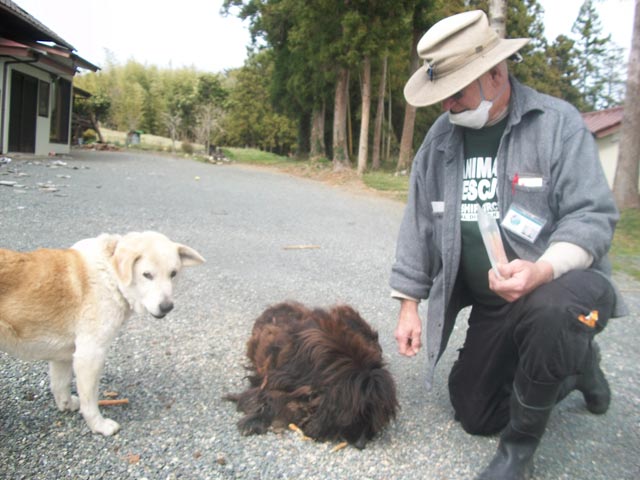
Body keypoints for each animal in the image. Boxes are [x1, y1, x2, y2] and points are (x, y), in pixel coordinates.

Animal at [0, 231, 205, 436]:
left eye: (173, 274)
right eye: (147, 275)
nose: (167, 307)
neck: (110, 274)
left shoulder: (63, 354)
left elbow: (60, 384)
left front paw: (67, 404)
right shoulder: (90, 355)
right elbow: (89, 401)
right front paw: (99, 425)